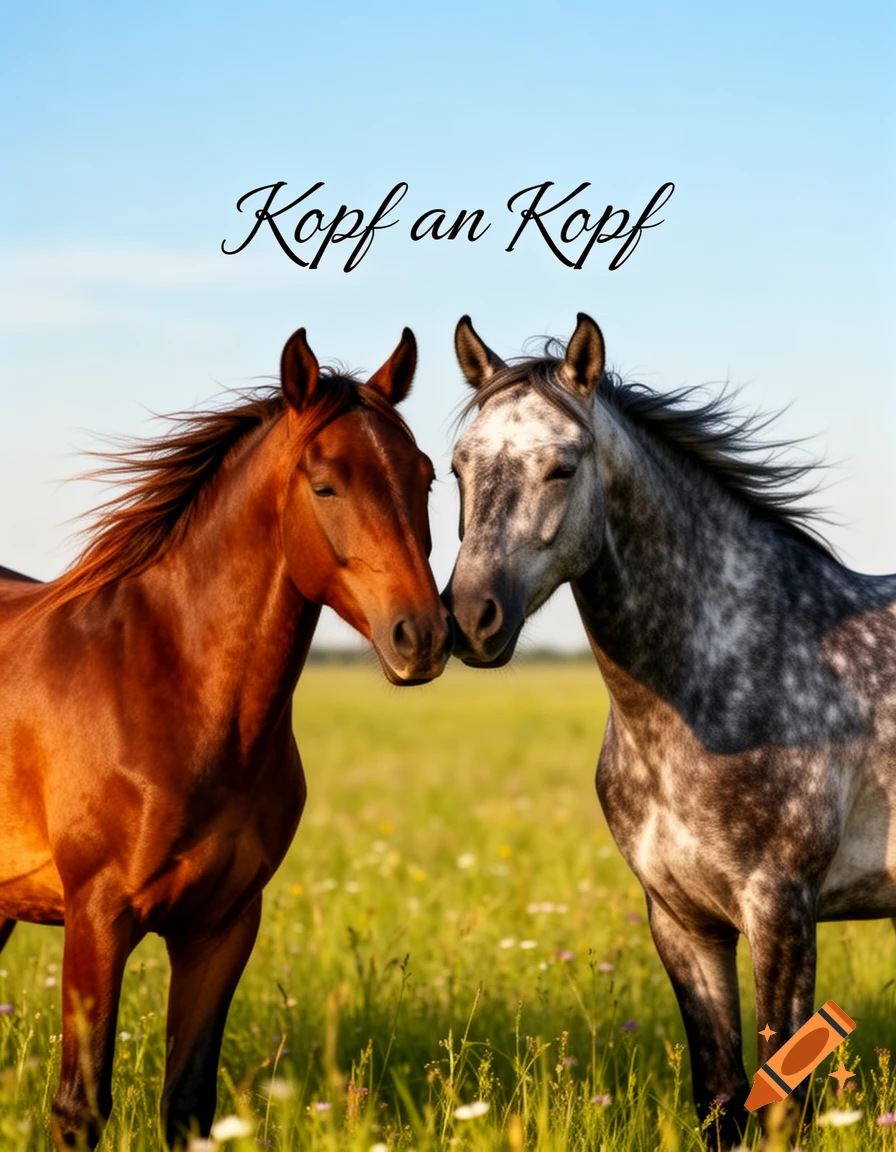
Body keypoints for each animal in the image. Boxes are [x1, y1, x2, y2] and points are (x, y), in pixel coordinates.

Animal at [0, 324, 450, 1149]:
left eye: (426, 477)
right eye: (325, 484)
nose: (424, 636)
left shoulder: (222, 926)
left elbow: (187, 1103)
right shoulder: (97, 922)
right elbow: (79, 1106)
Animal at [443, 312, 896, 1146]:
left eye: (562, 467)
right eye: (459, 468)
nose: (468, 618)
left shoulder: (781, 908)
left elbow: (780, 1100)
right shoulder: (682, 919)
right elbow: (718, 1094)